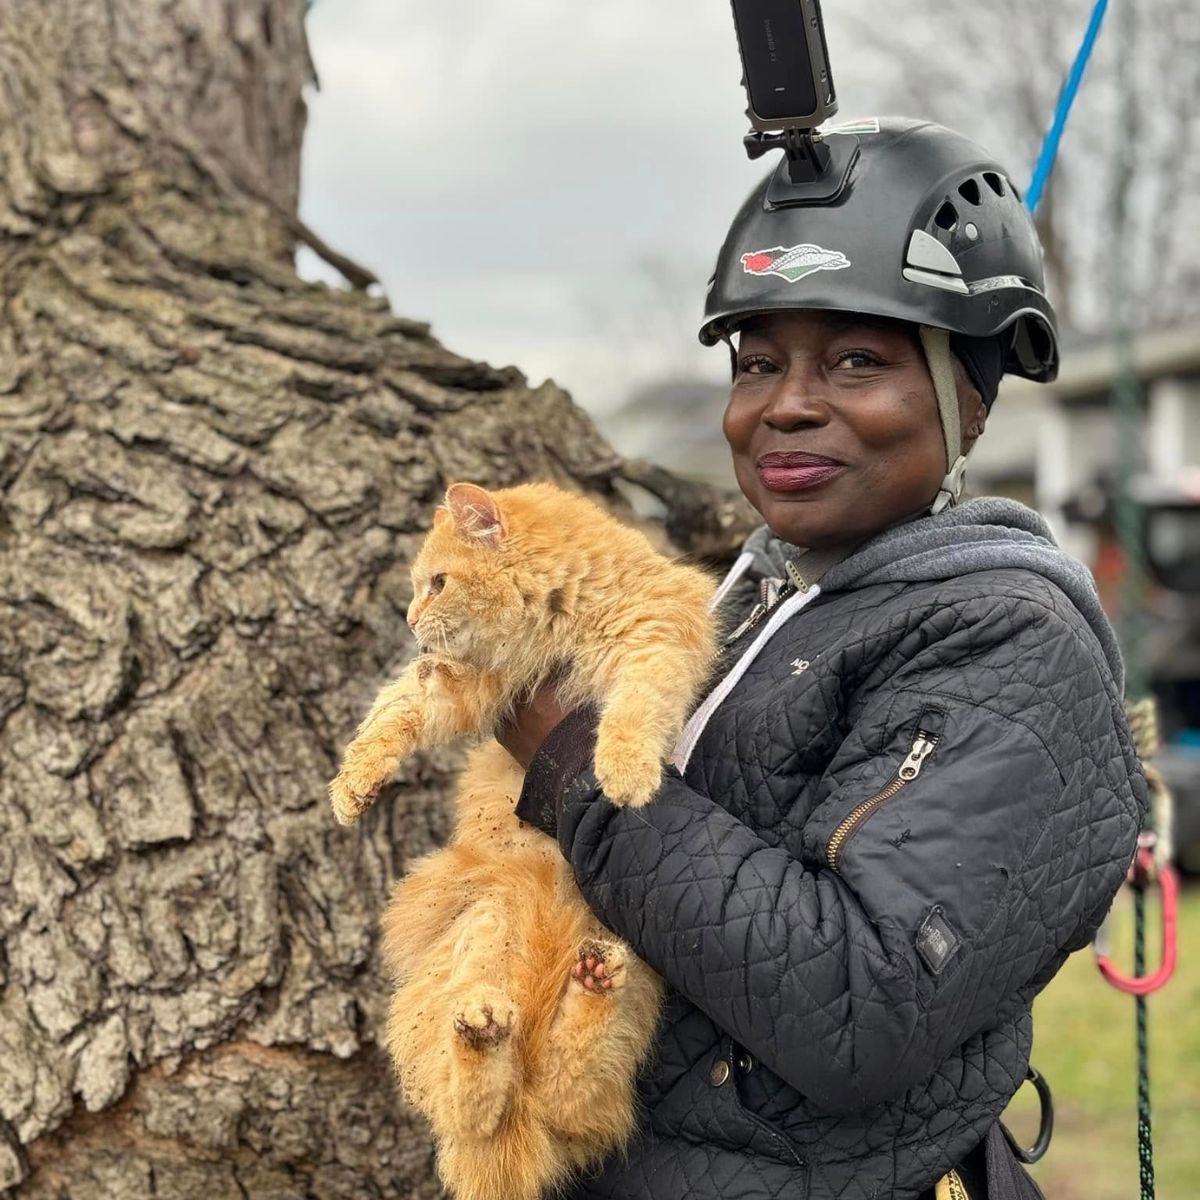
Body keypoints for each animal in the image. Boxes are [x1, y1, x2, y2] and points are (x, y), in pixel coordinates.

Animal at [331, 482, 720, 1200]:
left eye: (437, 583)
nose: (410, 620)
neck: (551, 627)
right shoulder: (466, 686)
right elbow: (393, 712)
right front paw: (351, 789)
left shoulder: (656, 631)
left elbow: (634, 705)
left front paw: (625, 774)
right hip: (483, 935)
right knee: (480, 1104)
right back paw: (488, 1030)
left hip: (626, 1003)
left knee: (560, 1090)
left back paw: (590, 982)